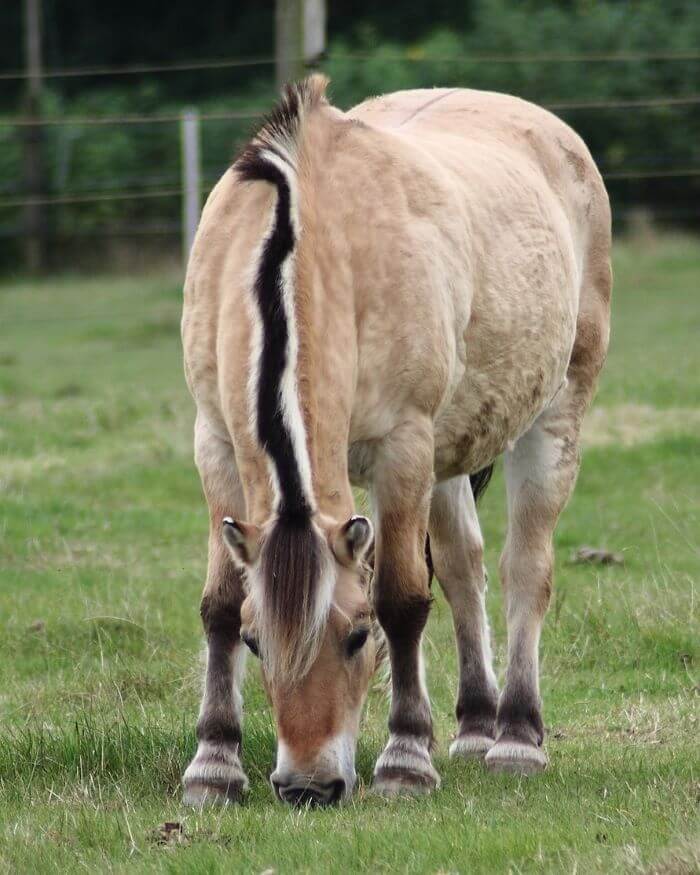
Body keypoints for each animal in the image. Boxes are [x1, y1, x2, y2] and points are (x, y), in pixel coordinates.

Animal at [182, 77, 612, 808]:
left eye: (358, 636)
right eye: (255, 641)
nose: (309, 785)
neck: (307, 233)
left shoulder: (403, 444)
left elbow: (404, 598)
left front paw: (406, 758)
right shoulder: (214, 441)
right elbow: (217, 602)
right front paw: (213, 764)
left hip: (554, 416)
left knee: (526, 568)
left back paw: (516, 737)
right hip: (448, 452)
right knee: (465, 568)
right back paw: (475, 725)